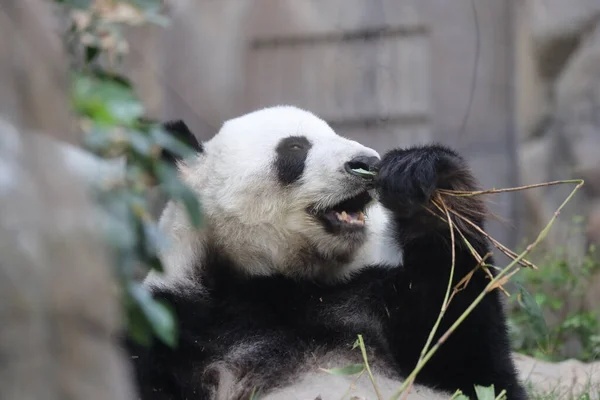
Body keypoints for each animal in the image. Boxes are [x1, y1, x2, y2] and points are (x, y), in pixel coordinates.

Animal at [124, 106, 528, 400]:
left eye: (335, 133)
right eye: (295, 148)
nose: (367, 162)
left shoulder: (372, 297)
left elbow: (472, 366)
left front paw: (426, 183)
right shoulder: (171, 324)